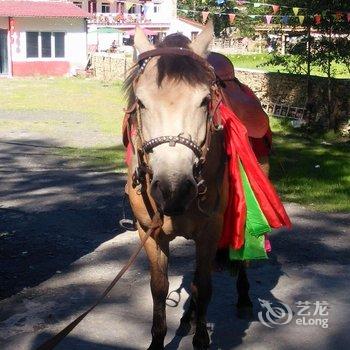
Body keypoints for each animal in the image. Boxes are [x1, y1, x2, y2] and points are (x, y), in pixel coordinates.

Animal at [123, 21, 254, 348]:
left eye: (205, 101)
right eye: (141, 102)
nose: (173, 188)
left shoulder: (210, 231)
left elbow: (203, 286)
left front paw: (201, 339)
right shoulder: (150, 233)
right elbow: (160, 287)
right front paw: (159, 339)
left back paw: (244, 299)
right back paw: (189, 317)